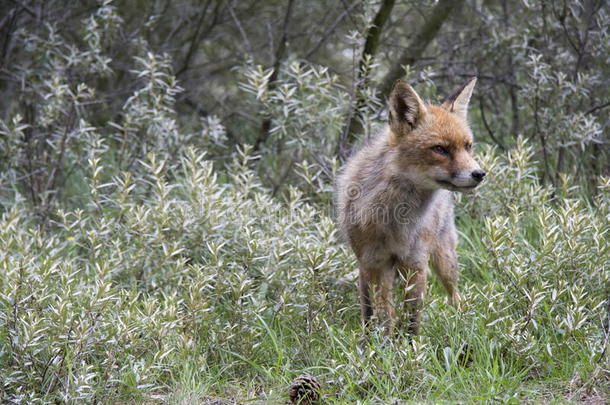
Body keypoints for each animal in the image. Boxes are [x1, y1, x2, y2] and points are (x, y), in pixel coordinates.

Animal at [334, 77, 482, 332]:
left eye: (468, 146)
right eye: (440, 149)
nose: (479, 174)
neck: (395, 221)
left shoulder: (416, 262)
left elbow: (412, 318)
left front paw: (410, 343)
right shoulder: (371, 262)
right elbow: (377, 315)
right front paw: (377, 342)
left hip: (444, 260)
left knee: (455, 294)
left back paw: (462, 322)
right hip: (378, 269)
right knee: (378, 307)